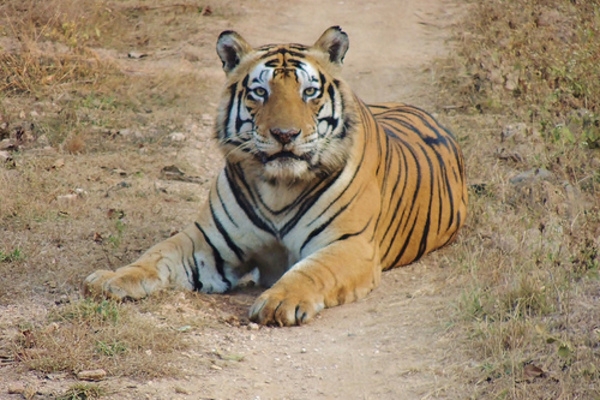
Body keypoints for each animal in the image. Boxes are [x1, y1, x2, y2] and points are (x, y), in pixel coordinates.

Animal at [84, 25, 468, 326]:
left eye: (309, 92)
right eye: (260, 91)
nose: (285, 134)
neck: (279, 188)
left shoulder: (349, 244)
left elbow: (312, 270)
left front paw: (279, 301)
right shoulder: (209, 241)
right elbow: (157, 254)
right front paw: (112, 278)